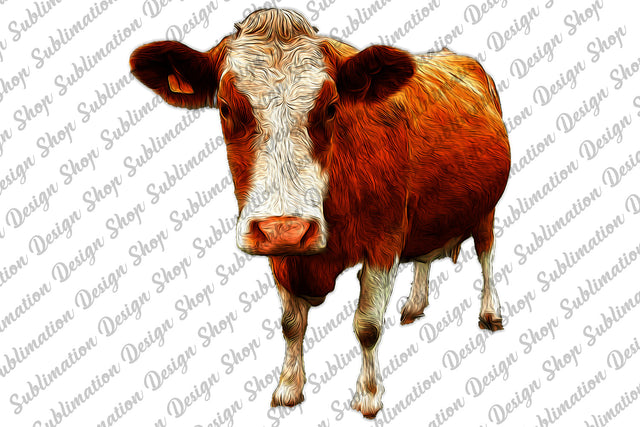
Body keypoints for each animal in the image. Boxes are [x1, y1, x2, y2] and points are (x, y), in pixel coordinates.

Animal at [130, 8, 510, 419]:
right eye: (226, 107)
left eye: (330, 108)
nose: (286, 228)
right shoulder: (281, 253)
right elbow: (291, 324)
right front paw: (288, 387)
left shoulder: (385, 238)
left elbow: (367, 326)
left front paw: (368, 396)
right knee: (425, 254)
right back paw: (414, 305)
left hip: (487, 207)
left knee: (487, 254)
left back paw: (490, 313)